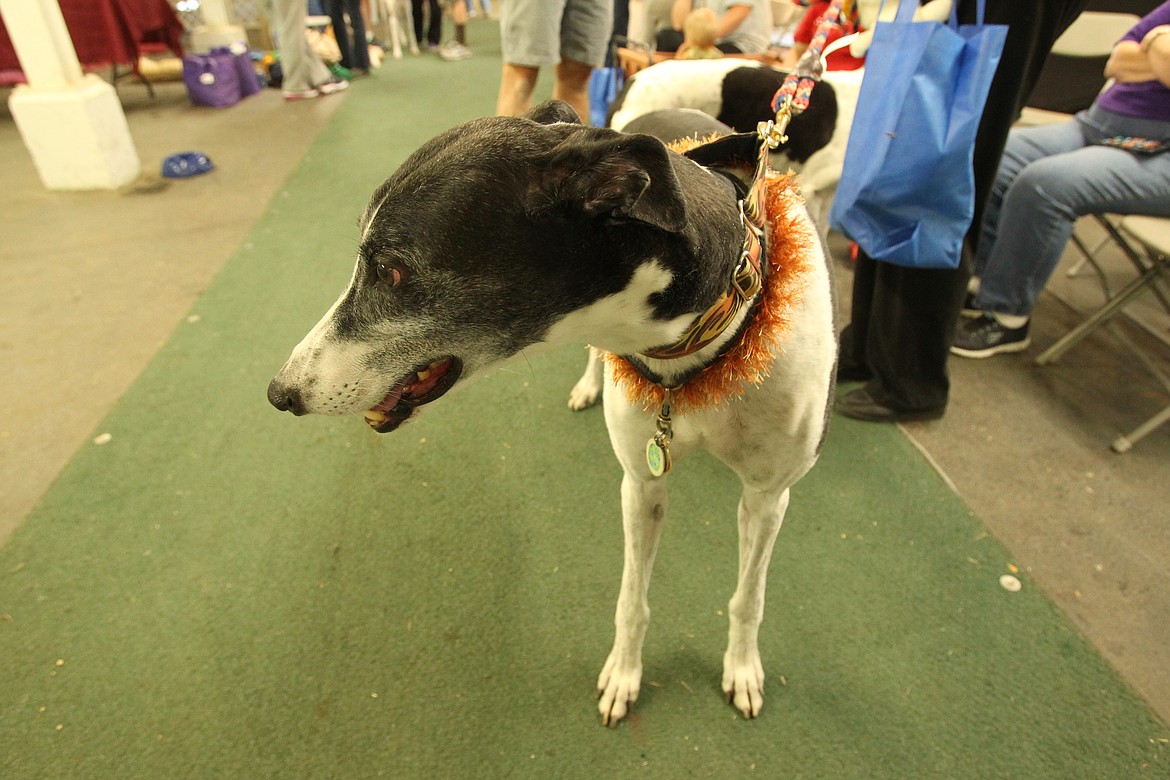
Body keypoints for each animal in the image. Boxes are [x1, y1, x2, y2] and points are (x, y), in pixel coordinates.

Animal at [269, 99, 837, 725]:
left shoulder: (768, 495)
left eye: (392, 271)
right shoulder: (641, 483)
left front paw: (741, 669)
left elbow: (748, 597)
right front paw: (624, 675)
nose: (280, 393)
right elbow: (632, 600)